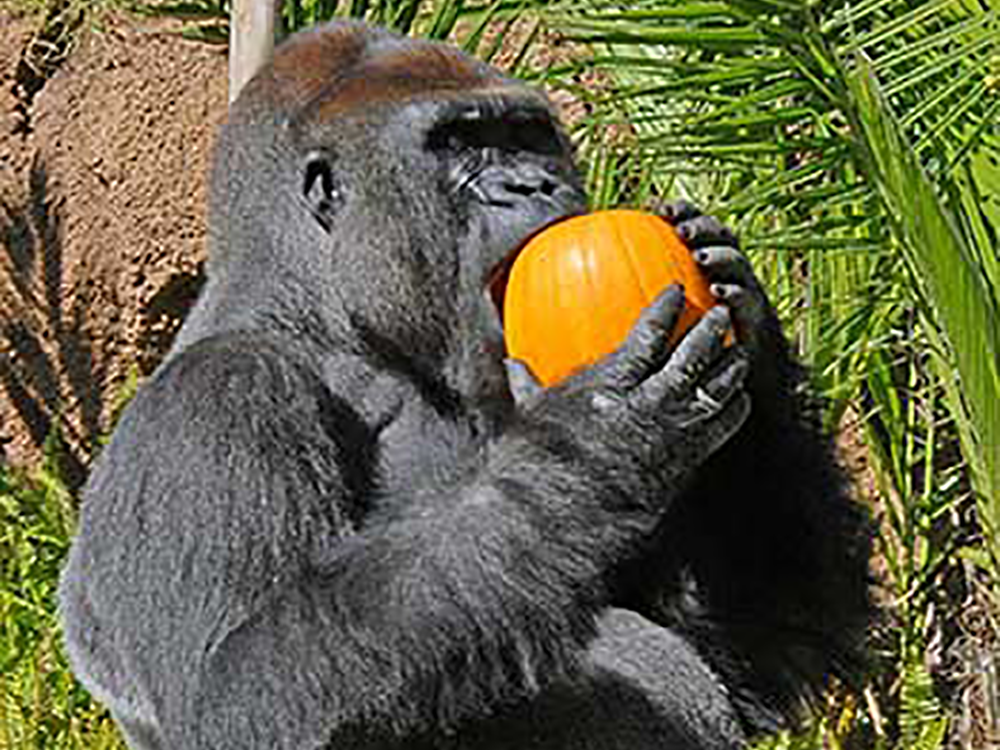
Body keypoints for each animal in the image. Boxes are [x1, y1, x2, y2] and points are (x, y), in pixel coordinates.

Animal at [58, 19, 868, 750]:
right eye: (458, 143)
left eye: (529, 137)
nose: (535, 182)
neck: (328, 319)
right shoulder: (213, 405)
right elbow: (236, 691)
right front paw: (596, 437)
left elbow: (752, 657)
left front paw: (746, 318)